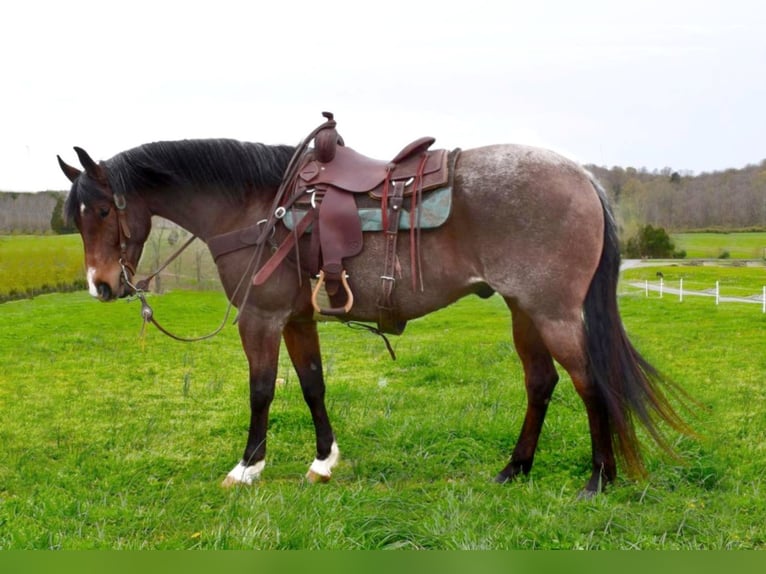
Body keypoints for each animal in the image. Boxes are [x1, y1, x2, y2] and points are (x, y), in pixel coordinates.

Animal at [57, 120, 688, 496]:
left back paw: (599, 478)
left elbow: (261, 390)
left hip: (552, 312)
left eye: (105, 210)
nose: (101, 286)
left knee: (589, 384)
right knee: (541, 383)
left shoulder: (260, 318)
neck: (258, 208)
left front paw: (248, 466)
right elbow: (312, 384)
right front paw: (323, 460)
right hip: (523, 310)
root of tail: (582, 177)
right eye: (75, 216)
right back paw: (516, 468)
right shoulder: (297, 318)